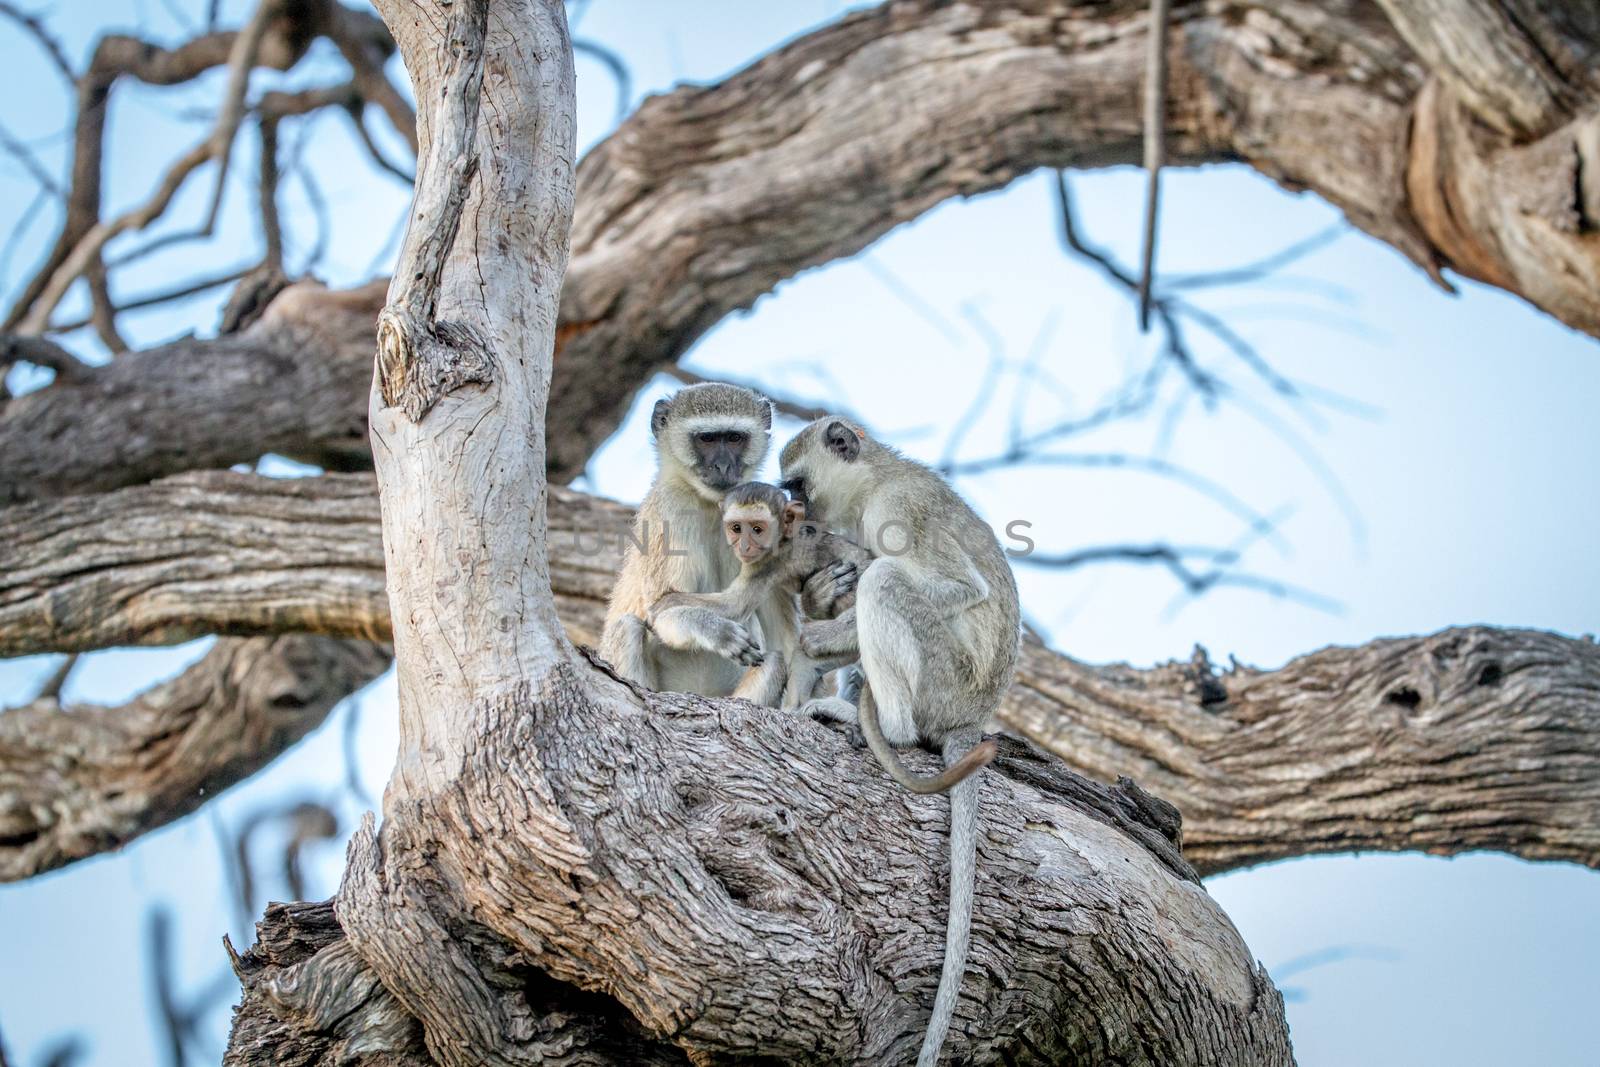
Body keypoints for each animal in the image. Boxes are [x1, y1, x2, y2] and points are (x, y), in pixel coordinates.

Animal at [649, 483, 870, 710]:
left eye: (757, 529)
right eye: (736, 528)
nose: (744, 546)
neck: (784, 538)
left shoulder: (767, 562)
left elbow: (733, 605)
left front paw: (665, 606)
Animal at [777, 415, 1024, 1067]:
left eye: (798, 486)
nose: (793, 509)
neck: (873, 481)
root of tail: (971, 715)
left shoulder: (898, 509)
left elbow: (960, 587)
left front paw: (821, 627)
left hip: (943, 678)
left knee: (886, 581)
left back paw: (880, 725)